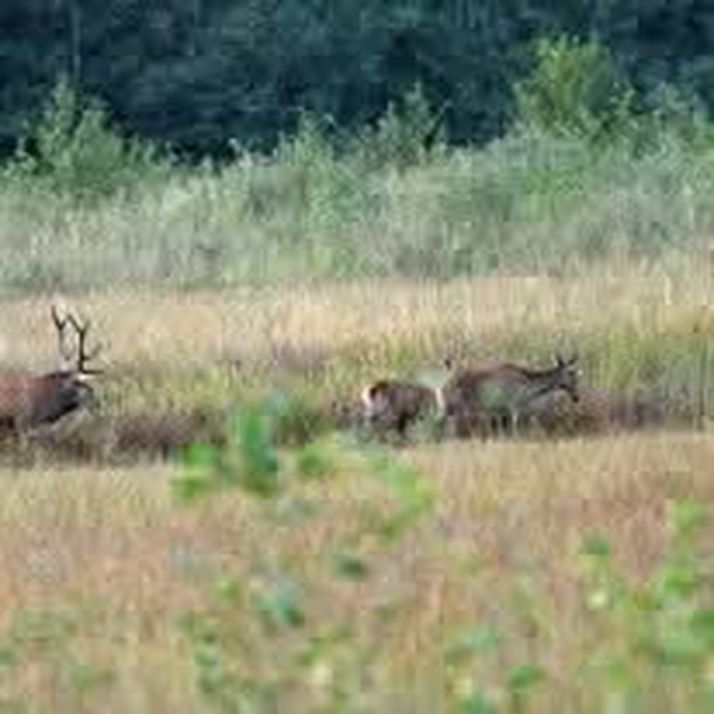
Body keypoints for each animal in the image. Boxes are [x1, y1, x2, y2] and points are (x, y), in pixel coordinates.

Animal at [441, 353, 580, 438]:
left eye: (576, 375)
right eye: (570, 373)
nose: (576, 397)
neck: (527, 385)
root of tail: (447, 381)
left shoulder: (501, 411)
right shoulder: (513, 408)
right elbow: (513, 431)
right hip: (455, 407)